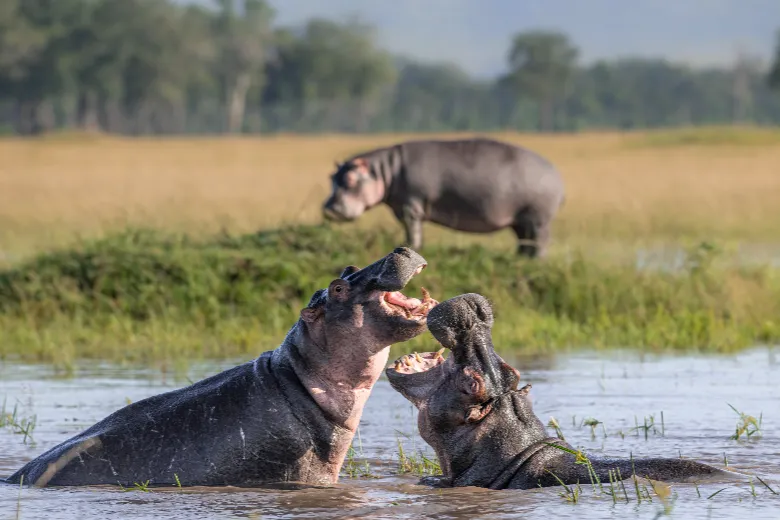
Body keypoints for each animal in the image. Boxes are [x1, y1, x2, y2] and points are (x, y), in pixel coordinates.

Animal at [322, 137, 566, 258]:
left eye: (350, 179)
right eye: (332, 177)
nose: (329, 208)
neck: (384, 170)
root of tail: (556, 174)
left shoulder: (411, 206)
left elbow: (413, 231)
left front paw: (411, 247)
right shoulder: (403, 207)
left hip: (538, 218)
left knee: (540, 241)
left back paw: (536, 261)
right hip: (520, 220)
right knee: (525, 241)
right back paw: (521, 259)